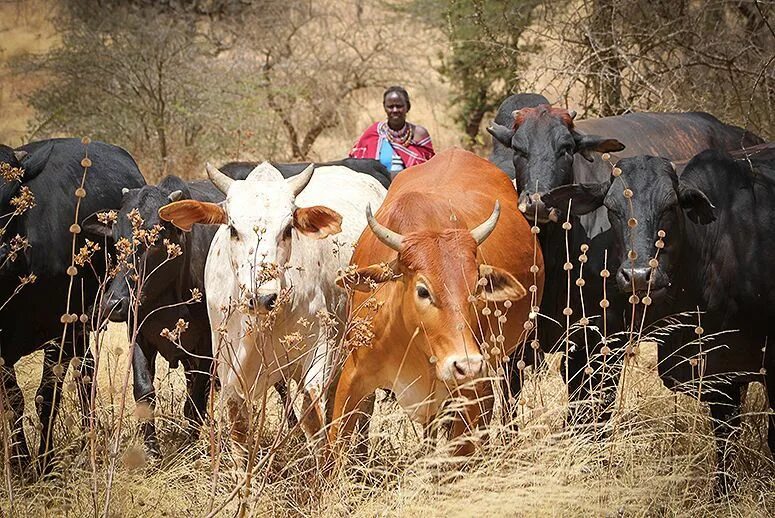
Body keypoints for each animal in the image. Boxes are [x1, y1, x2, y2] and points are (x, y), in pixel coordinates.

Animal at [0, 139, 145, 476]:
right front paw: (20, 463)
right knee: (87, 370)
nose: (2, 252)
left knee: (84, 375)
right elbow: (12, 401)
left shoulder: (60, 332)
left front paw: (45, 462)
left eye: (11, 195)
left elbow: (46, 397)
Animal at [158, 164, 388, 450]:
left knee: (363, 406)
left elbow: (313, 418)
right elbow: (239, 426)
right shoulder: (227, 365)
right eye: (233, 229)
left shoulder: (320, 350)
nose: (262, 298)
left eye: (288, 229)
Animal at [544, 146, 775, 492]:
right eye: (611, 209)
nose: (639, 275)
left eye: (669, 206)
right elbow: (725, 431)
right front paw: (722, 492)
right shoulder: (720, 368)